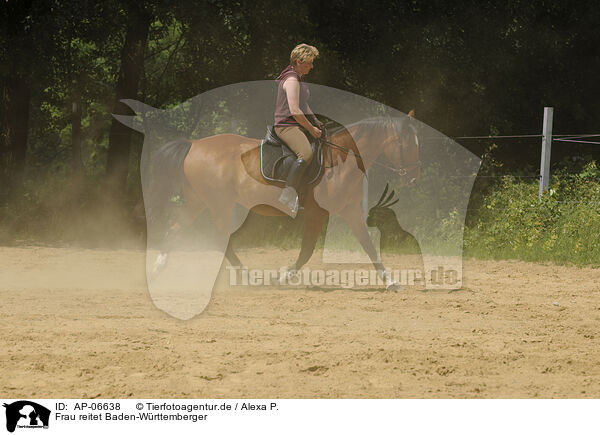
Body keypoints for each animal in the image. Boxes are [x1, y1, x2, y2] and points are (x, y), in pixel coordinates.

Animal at [152, 112, 420, 290]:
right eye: (407, 144)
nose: (414, 178)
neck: (340, 159)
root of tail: (193, 145)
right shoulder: (318, 213)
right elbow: (307, 251)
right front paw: (281, 278)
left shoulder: (350, 210)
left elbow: (368, 245)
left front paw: (391, 281)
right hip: (219, 203)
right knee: (220, 238)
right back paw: (247, 276)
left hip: (199, 201)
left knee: (176, 227)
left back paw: (158, 267)